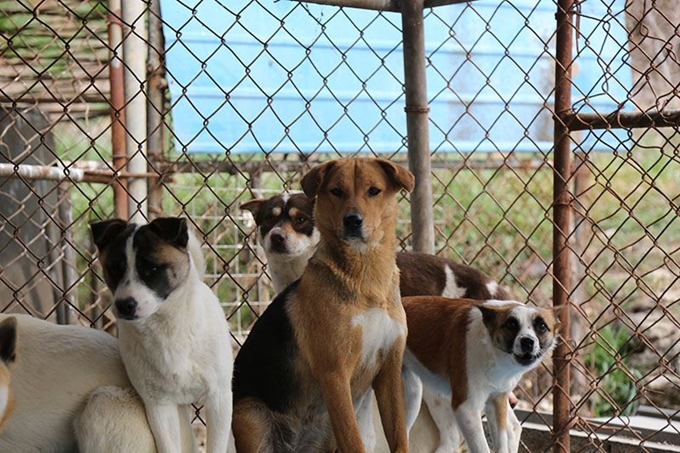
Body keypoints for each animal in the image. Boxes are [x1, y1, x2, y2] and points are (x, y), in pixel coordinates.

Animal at [91, 216, 234, 452]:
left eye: (152, 268)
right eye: (113, 268)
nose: (124, 305)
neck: (167, 328)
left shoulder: (218, 399)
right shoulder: (158, 405)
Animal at [232, 156, 414, 452]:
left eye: (373, 191)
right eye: (336, 191)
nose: (352, 221)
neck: (366, 274)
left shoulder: (389, 372)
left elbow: (399, 437)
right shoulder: (335, 374)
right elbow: (354, 442)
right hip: (252, 420)